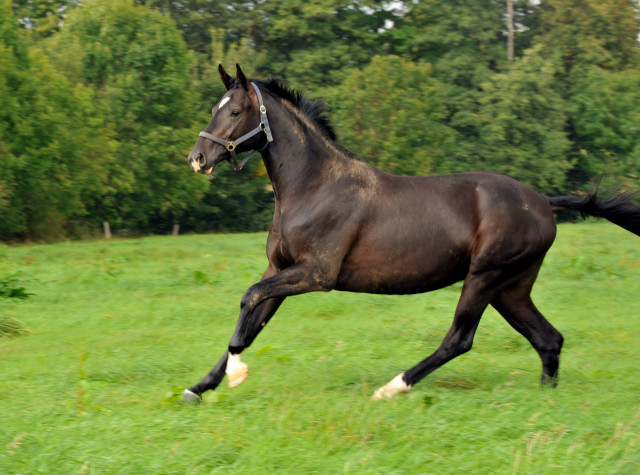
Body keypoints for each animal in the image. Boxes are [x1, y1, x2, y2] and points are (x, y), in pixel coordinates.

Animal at [182, 65, 636, 404]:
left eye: (236, 111)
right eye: (215, 108)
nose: (197, 159)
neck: (313, 185)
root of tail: (541, 200)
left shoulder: (316, 273)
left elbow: (249, 299)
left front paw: (236, 373)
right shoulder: (281, 268)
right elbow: (253, 319)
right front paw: (197, 388)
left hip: (485, 276)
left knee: (459, 339)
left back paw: (392, 388)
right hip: (511, 287)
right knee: (548, 339)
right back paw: (546, 398)